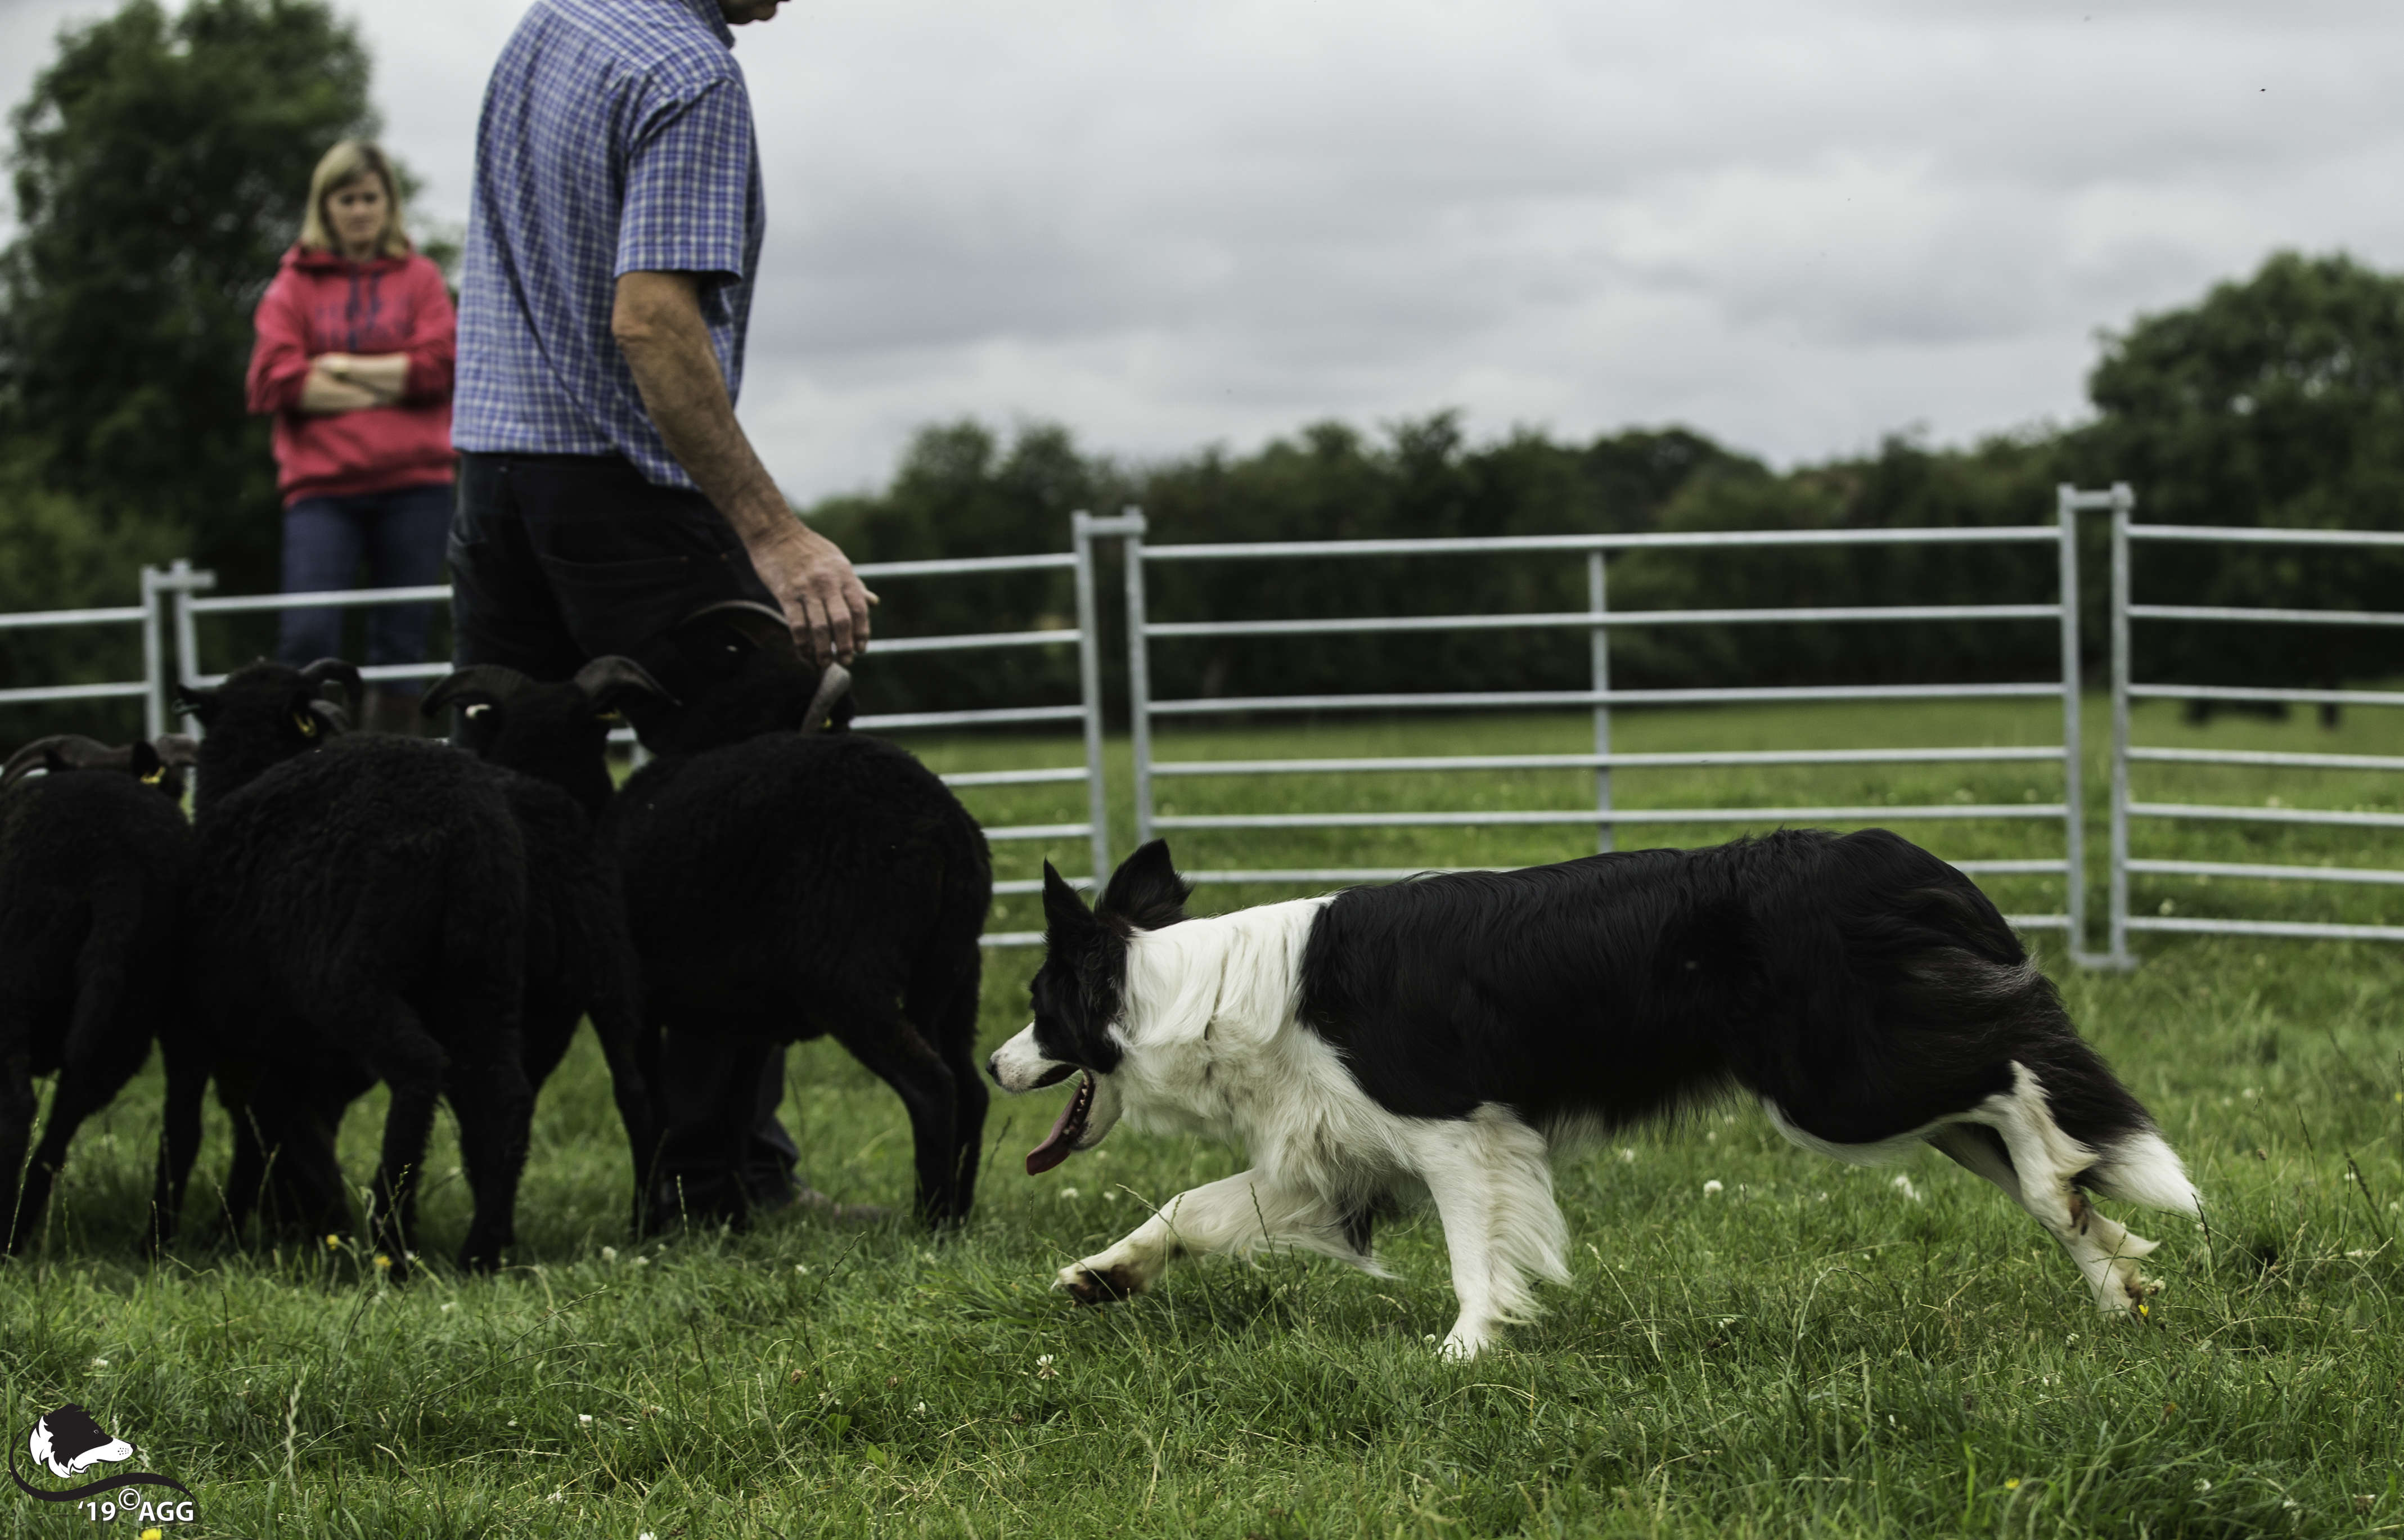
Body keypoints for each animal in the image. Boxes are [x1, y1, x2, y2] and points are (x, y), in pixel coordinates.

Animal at [163, 659, 536, 1273]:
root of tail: (461, 820)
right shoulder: (293, 1052)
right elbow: (276, 1127)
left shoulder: (231, 1033)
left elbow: (244, 1127)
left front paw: (233, 1231)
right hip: (486, 972)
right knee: (508, 1091)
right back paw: (479, 1251)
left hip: (349, 977)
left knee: (419, 1067)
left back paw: (391, 1239)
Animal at [607, 602, 994, 1228]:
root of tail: (948, 826)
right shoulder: (747, 1021)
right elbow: (734, 1113)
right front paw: (735, 1218)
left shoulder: (634, 999)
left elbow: (648, 1109)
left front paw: (646, 1222)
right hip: (955, 975)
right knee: (970, 1089)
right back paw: (957, 1214)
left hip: (846, 975)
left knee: (932, 1087)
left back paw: (928, 1220)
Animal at [989, 832, 2200, 1359]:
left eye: (1037, 1003)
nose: (990, 1066)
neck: (1192, 992)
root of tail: (1905, 857)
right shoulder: (1334, 1160)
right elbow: (1189, 1209)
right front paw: (1102, 1274)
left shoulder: (1455, 1129)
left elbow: (1475, 1251)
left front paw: (1466, 1350)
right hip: (1863, 1075)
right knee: (2023, 1133)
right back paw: (2111, 1274)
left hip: (1830, 1080)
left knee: (2011, 1070)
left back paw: (2070, 1190)